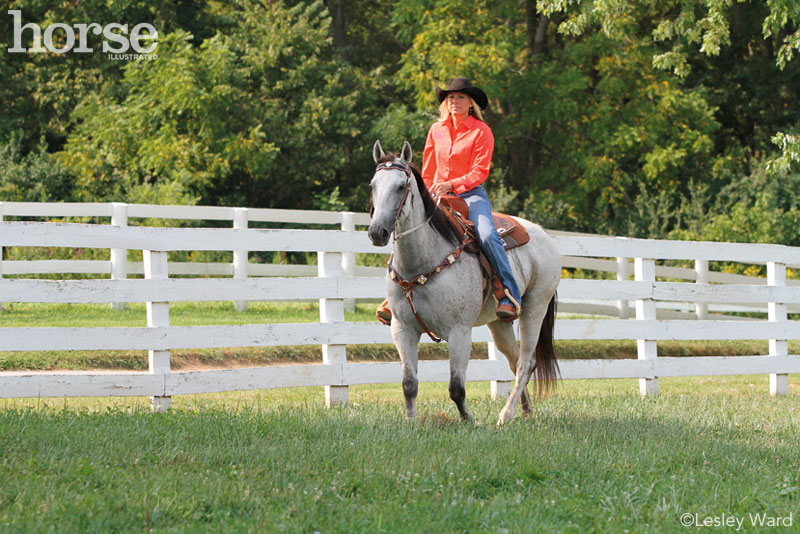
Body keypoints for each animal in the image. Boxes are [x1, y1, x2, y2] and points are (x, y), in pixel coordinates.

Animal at [368, 141, 564, 428]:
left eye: (401, 186)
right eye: (373, 185)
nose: (377, 232)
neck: (422, 262)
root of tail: (542, 234)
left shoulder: (459, 332)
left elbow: (456, 387)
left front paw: (469, 419)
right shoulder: (402, 330)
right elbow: (409, 383)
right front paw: (410, 422)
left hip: (535, 309)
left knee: (526, 363)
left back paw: (505, 415)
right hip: (499, 323)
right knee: (514, 361)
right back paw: (525, 411)